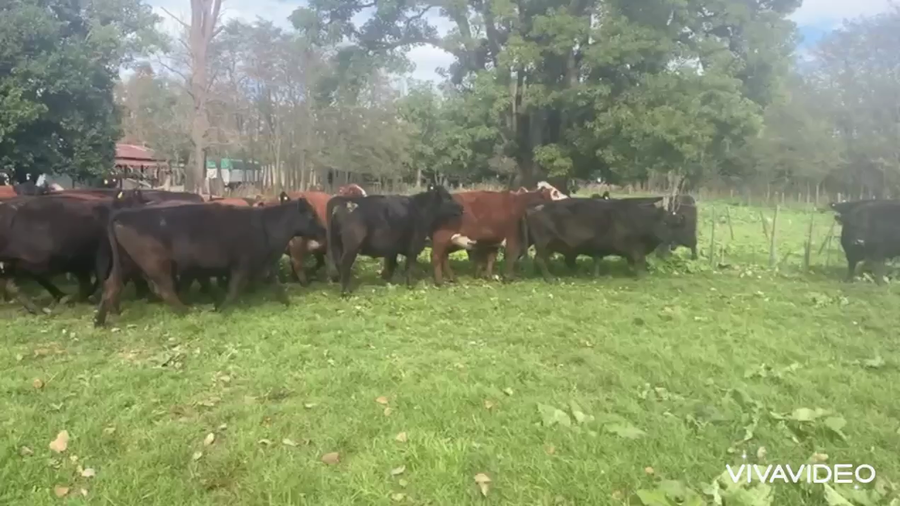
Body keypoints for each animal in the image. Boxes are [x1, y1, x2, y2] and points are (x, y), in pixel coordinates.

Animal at [94, 193, 325, 325]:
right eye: (312, 215)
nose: (323, 230)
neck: (265, 225)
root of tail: (125, 213)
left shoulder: (262, 264)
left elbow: (276, 284)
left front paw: (287, 303)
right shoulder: (242, 264)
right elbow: (234, 289)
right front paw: (221, 309)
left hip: (126, 263)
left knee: (111, 286)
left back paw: (100, 321)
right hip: (156, 263)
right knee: (164, 289)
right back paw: (186, 311)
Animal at [326, 184, 462, 295]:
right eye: (448, 198)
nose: (461, 208)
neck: (420, 210)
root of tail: (342, 206)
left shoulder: (393, 250)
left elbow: (391, 266)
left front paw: (388, 283)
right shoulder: (413, 247)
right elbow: (409, 267)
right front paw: (410, 286)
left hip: (337, 244)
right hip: (351, 247)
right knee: (344, 264)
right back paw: (346, 292)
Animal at [432, 184, 566, 284]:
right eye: (556, 194)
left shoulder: (494, 240)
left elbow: (492, 258)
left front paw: (488, 276)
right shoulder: (514, 237)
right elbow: (512, 256)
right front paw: (508, 277)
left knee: (443, 257)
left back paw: (452, 278)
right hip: (441, 237)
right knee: (436, 256)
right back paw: (440, 282)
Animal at [524, 197, 685, 281]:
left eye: (675, 225)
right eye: (664, 222)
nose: (673, 243)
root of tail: (534, 209)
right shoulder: (632, 247)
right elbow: (638, 260)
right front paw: (643, 275)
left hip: (550, 246)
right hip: (544, 243)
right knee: (540, 260)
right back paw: (551, 278)